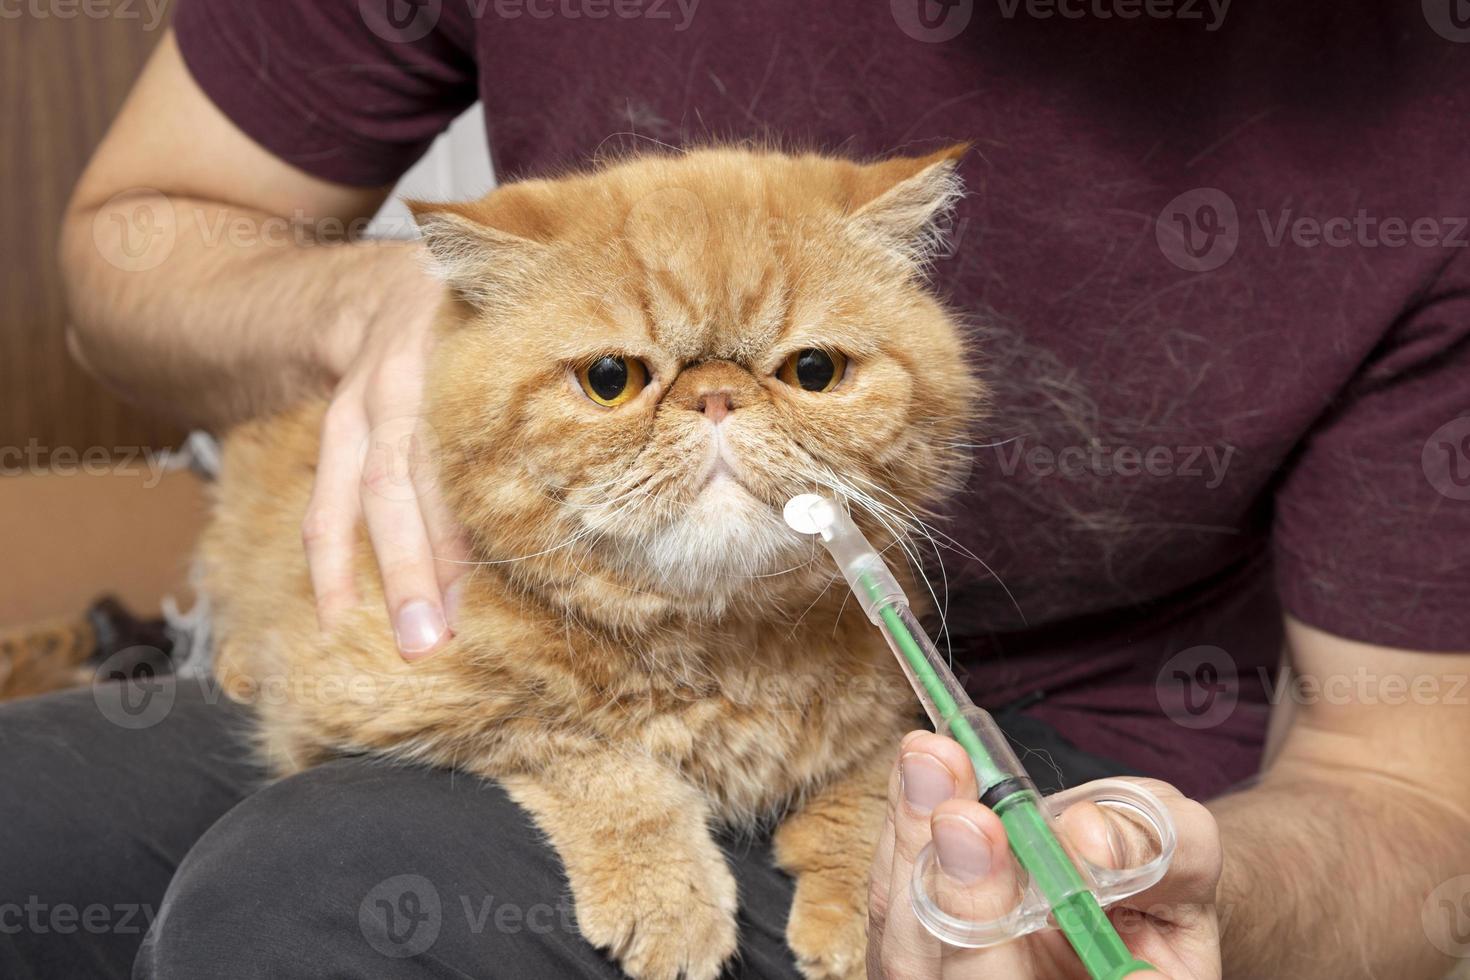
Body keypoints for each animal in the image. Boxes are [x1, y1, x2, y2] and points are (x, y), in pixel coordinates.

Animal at [198, 143, 976, 980]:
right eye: (611, 380)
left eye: (813, 371)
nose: (716, 396)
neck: (726, 650)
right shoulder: (380, 705)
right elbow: (596, 758)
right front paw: (668, 895)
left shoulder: (898, 694)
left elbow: (874, 783)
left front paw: (858, 913)